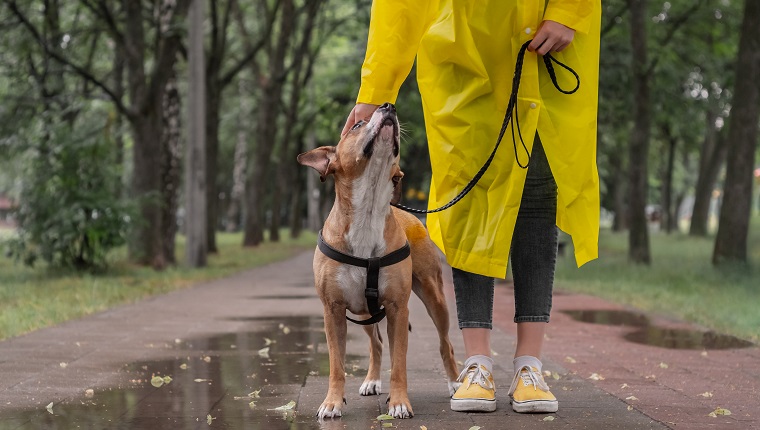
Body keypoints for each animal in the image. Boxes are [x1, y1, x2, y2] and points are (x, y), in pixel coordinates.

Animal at [298, 102, 460, 418]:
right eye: (356, 126)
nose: (388, 105)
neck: (369, 207)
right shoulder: (333, 310)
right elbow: (336, 364)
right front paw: (332, 402)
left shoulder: (398, 308)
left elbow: (400, 363)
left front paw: (399, 402)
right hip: (363, 313)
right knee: (376, 345)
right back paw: (372, 381)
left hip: (435, 298)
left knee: (445, 344)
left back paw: (455, 384)